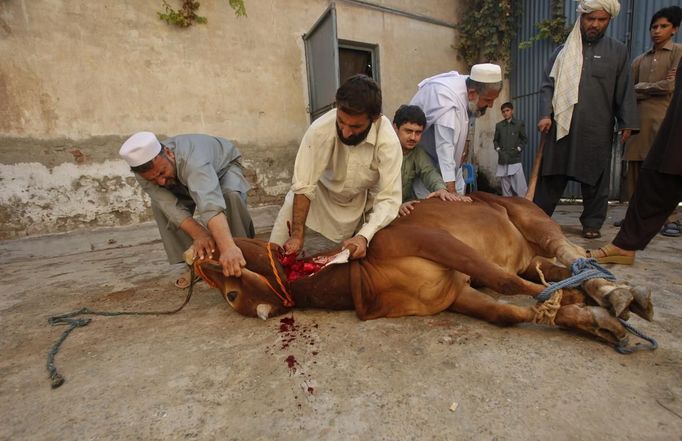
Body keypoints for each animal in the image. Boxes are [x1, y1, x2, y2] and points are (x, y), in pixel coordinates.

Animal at [187, 192, 652, 350]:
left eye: (230, 292)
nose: (202, 261)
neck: (360, 277)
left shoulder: (440, 245)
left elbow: (505, 283)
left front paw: (580, 307)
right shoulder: (456, 293)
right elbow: (508, 313)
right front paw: (587, 319)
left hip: (531, 217)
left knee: (571, 252)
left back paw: (619, 293)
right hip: (529, 254)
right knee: (556, 267)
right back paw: (602, 296)